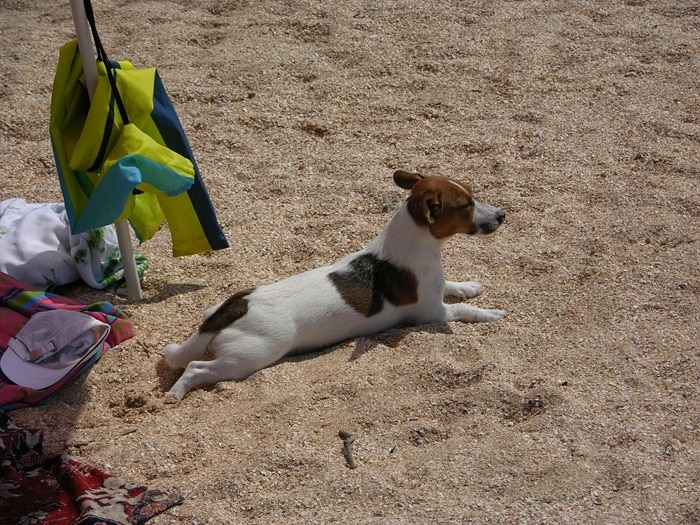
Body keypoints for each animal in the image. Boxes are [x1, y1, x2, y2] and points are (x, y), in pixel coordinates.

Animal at [163, 170, 504, 400]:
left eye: (472, 195)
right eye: (466, 206)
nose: (502, 215)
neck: (414, 246)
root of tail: (235, 306)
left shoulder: (437, 290)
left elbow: (454, 286)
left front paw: (470, 286)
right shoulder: (431, 313)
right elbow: (465, 310)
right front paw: (491, 314)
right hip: (248, 357)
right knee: (196, 367)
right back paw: (176, 393)